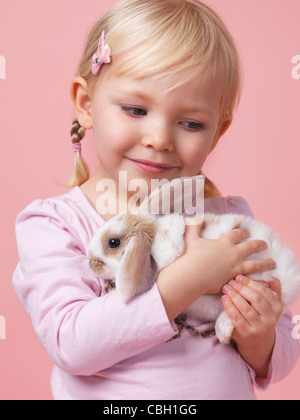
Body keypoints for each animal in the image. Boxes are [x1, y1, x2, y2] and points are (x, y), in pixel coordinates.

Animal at [88, 176, 300, 342]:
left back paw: (223, 329)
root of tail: (291, 278)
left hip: (255, 283)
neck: (154, 239)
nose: (91, 264)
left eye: (113, 242)